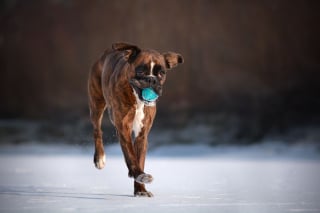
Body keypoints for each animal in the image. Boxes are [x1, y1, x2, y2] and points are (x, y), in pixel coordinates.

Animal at [87, 42, 184, 197]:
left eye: (161, 73)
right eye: (141, 71)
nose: (151, 79)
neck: (138, 100)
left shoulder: (141, 135)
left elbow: (140, 159)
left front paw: (140, 190)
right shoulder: (124, 129)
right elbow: (131, 157)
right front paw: (139, 175)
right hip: (97, 104)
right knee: (97, 131)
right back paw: (100, 159)